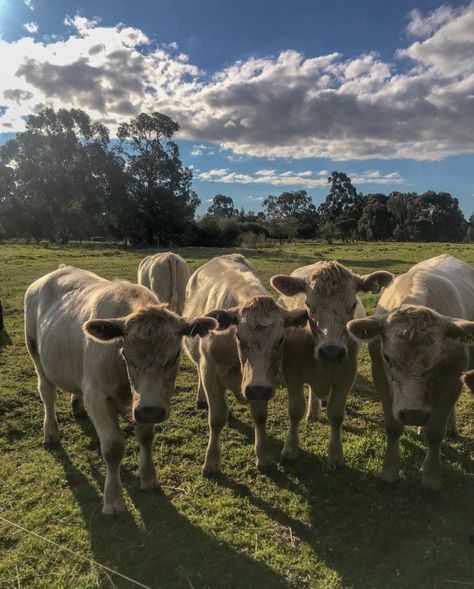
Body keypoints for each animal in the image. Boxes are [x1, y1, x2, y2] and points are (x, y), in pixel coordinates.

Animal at [24, 264, 217, 512]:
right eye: (126, 354)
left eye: (176, 355)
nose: (151, 410)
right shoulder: (98, 397)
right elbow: (113, 447)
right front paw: (113, 499)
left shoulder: (143, 404)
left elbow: (145, 436)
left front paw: (148, 478)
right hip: (36, 354)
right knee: (47, 394)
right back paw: (50, 433)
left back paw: (77, 406)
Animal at [181, 253, 308, 474]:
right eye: (239, 337)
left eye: (281, 339)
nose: (257, 389)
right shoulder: (210, 372)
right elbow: (217, 418)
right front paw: (211, 462)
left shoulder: (261, 383)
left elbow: (259, 416)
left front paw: (264, 457)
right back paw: (202, 399)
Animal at [270, 260, 392, 466]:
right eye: (309, 305)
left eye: (353, 304)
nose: (331, 351)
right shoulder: (291, 371)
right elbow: (295, 410)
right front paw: (290, 449)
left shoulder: (347, 374)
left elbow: (336, 414)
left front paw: (335, 455)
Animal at [346, 255, 474, 490]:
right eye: (387, 358)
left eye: (439, 361)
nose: (414, 414)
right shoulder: (381, 377)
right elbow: (393, 427)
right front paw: (389, 471)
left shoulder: (453, 380)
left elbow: (435, 432)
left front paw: (431, 477)